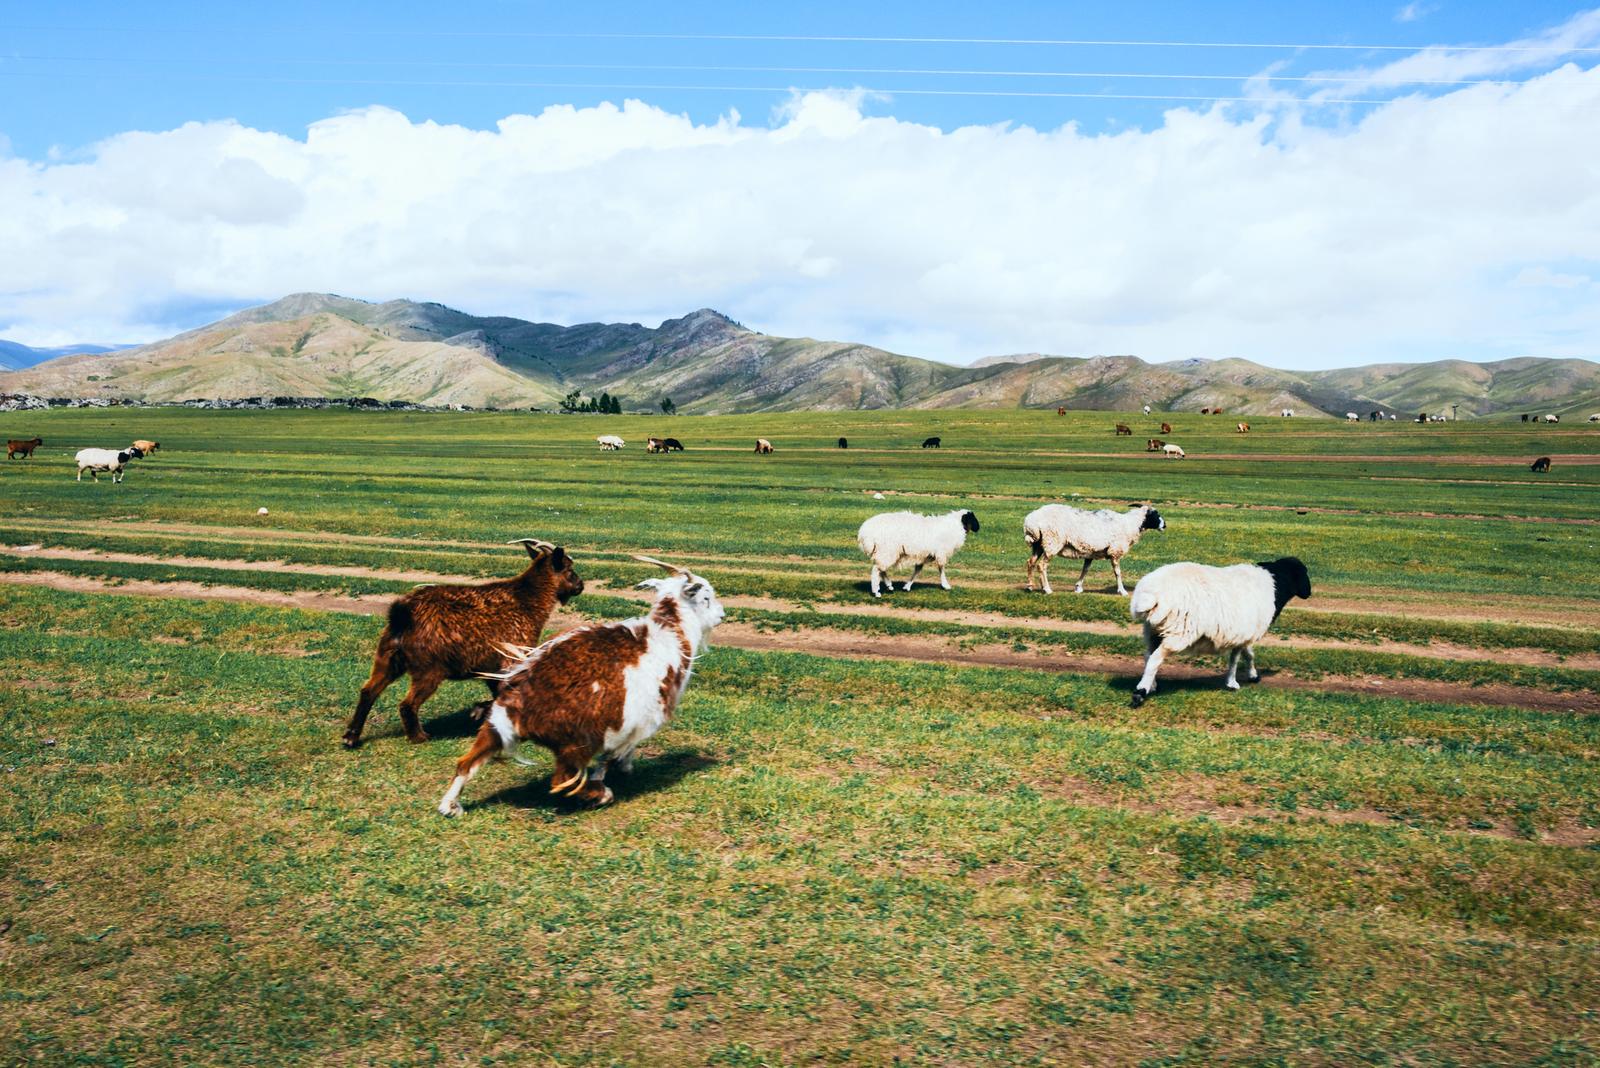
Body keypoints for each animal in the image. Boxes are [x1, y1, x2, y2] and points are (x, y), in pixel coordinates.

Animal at [340, 537, 585, 748]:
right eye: (568, 569)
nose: (580, 586)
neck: (527, 600)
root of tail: (402, 614)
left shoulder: (492, 667)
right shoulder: (513, 656)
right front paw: (480, 712)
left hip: (388, 657)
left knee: (368, 691)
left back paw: (351, 737)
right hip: (428, 669)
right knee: (407, 704)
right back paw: (419, 736)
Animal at [438, 556, 726, 812]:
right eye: (706, 597)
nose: (722, 615)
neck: (670, 634)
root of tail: (519, 702)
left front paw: (623, 768)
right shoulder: (637, 718)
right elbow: (613, 755)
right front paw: (615, 772)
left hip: (495, 727)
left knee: (466, 763)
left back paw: (449, 806)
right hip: (576, 741)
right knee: (562, 778)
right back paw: (600, 795)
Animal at [1024, 505, 1164, 597]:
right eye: (1155, 515)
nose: (1165, 525)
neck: (1130, 525)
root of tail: (1031, 522)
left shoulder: (1090, 552)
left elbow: (1085, 569)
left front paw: (1078, 587)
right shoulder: (1115, 551)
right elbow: (1117, 573)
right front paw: (1122, 591)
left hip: (1038, 545)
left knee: (1030, 562)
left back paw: (1030, 586)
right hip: (1052, 542)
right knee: (1041, 566)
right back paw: (1047, 589)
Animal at [1126, 559, 1312, 709]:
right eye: (1303, 573)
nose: (1308, 593)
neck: (1274, 586)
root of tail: (1149, 594)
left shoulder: (1245, 633)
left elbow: (1249, 655)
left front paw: (1253, 675)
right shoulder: (1242, 634)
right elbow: (1235, 660)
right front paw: (1232, 683)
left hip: (1153, 630)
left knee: (1148, 655)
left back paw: (1152, 685)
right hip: (1179, 632)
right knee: (1155, 659)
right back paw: (1140, 692)